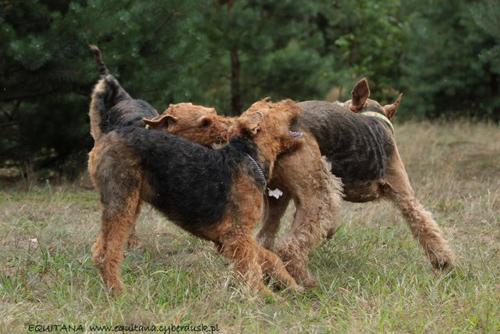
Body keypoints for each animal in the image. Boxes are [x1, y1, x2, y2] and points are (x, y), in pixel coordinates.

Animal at [87, 45, 304, 296]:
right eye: (271, 106)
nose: (293, 102)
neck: (248, 157)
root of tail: (110, 132)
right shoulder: (237, 234)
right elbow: (251, 269)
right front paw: (268, 297)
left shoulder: (228, 239)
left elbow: (269, 258)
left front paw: (292, 285)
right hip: (121, 200)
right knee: (106, 253)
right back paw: (120, 293)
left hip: (126, 202)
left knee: (100, 248)